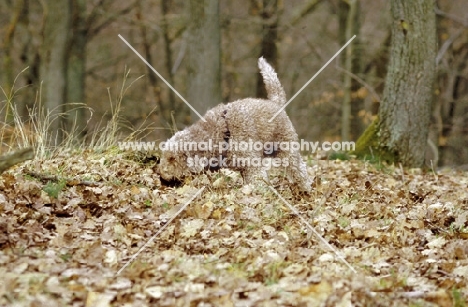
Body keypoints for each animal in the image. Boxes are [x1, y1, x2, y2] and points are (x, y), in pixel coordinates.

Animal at [159, 57, 312, 192]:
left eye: (172, 159)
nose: (161, 178)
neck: (217, 134)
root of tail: (276, 102)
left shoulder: (252, 165)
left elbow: (257, 183)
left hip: (287, 150)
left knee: (300, 170)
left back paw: (305, 189)